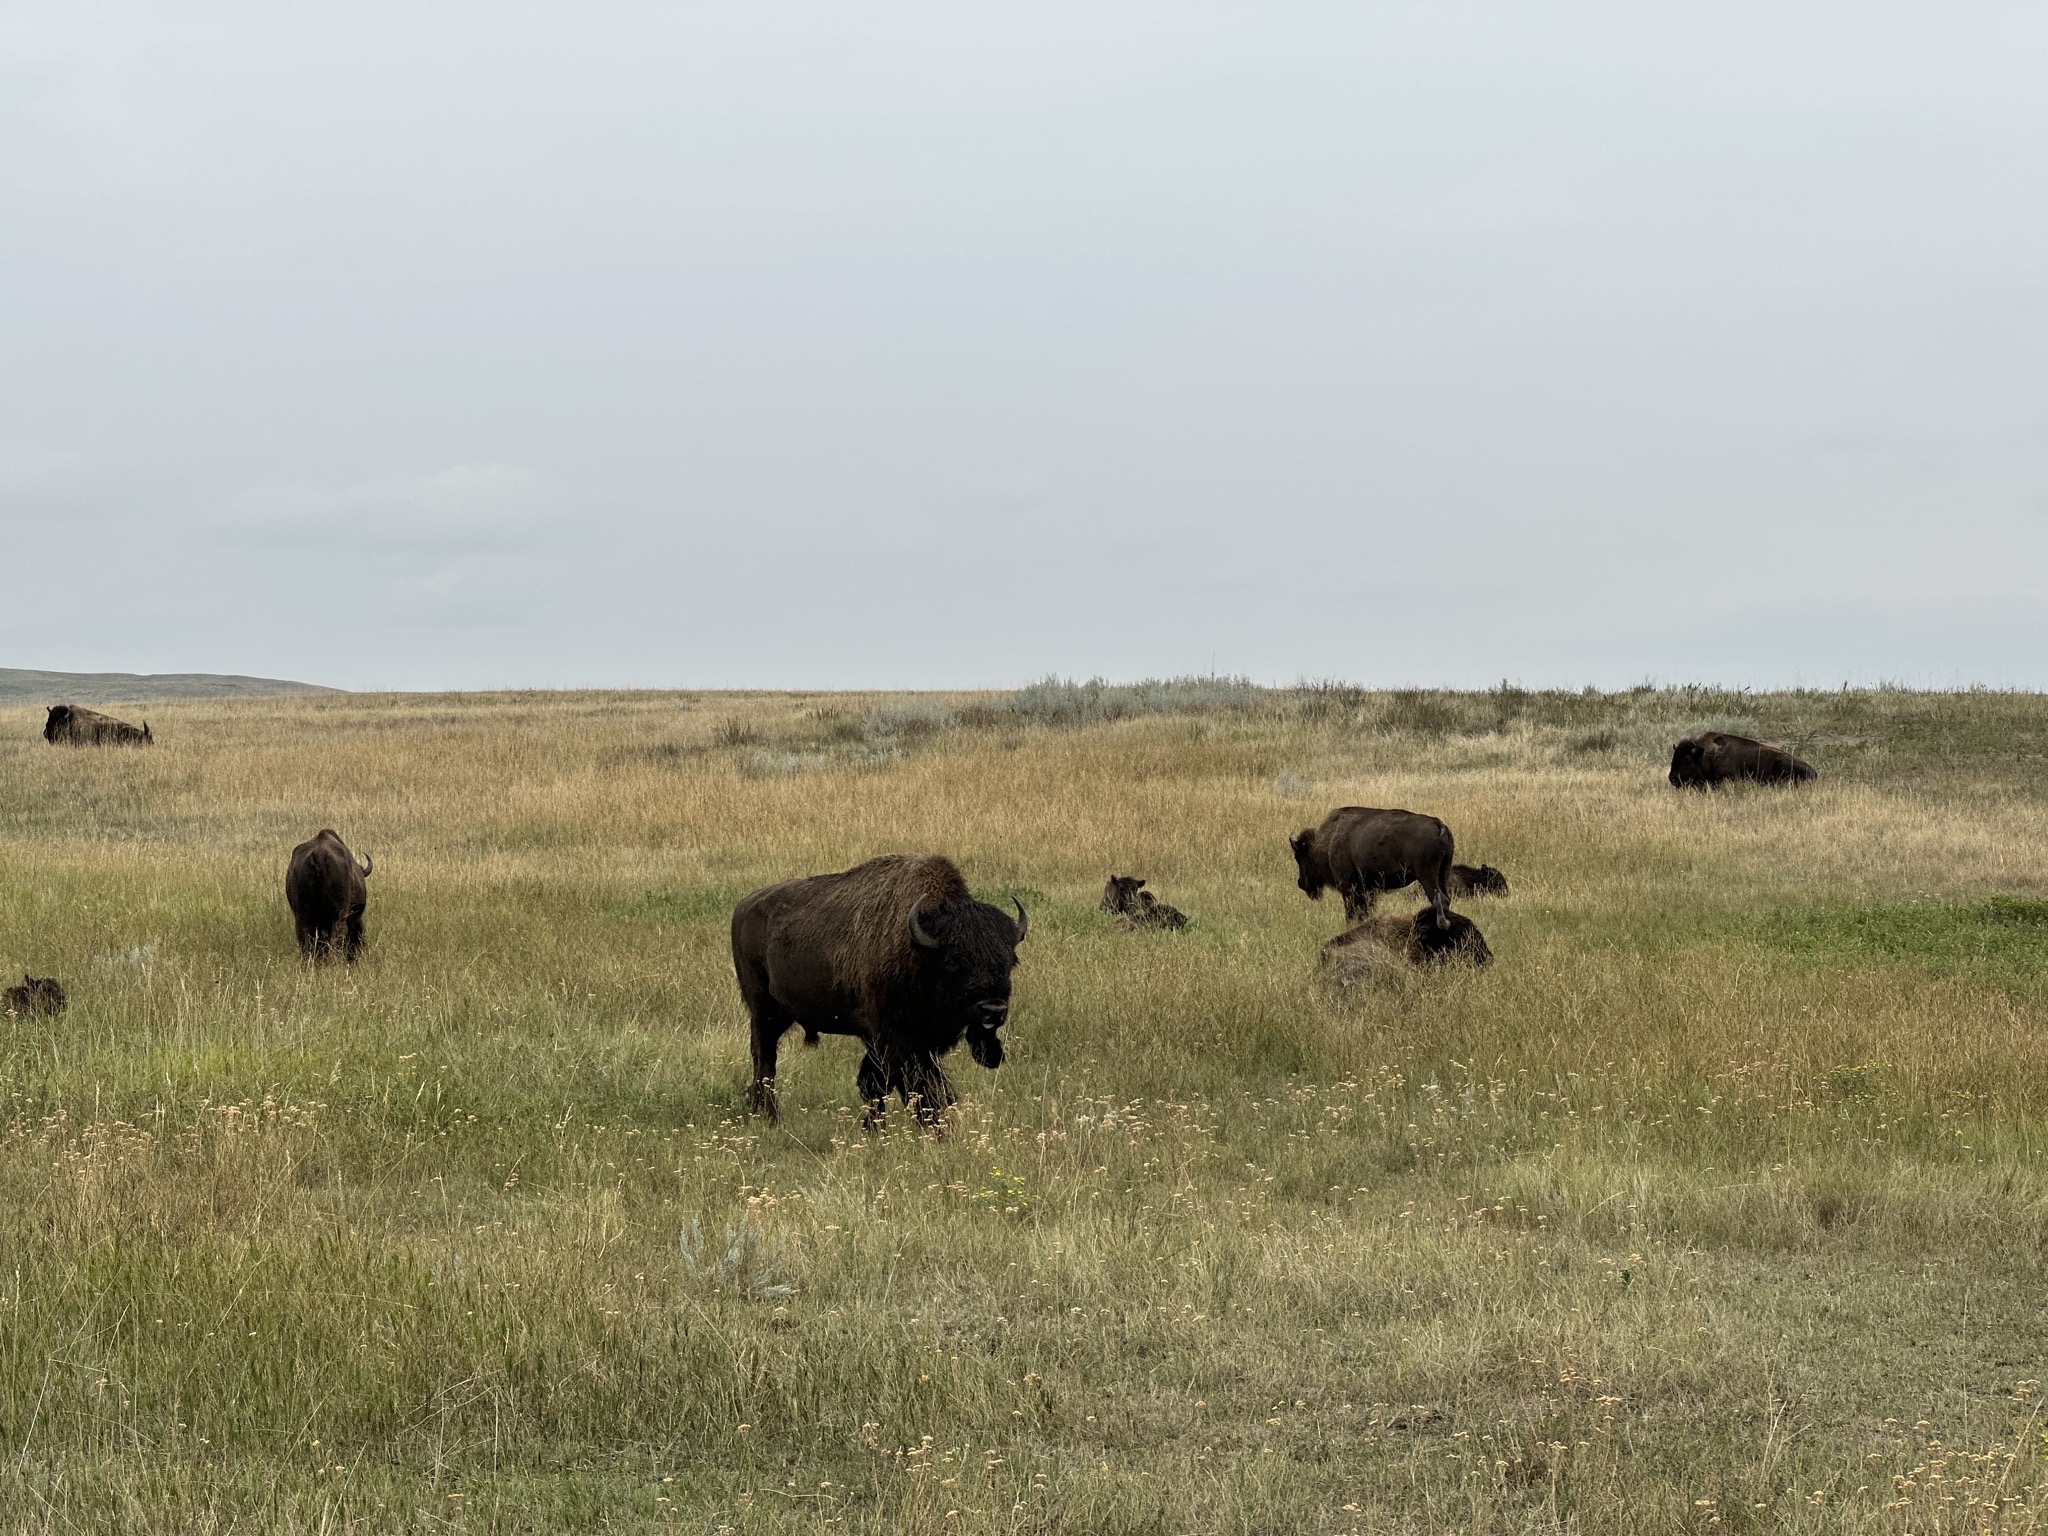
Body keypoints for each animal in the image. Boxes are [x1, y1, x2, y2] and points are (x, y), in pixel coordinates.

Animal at [733, 853, 1026, 1127]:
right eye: (953, 960)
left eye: (1010, 960)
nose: (993, 1009)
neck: (919, 949)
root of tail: (743, 907)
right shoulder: (892, 1037)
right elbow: (897, 1084)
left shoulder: (918, 1042)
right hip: (764, 1011)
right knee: (765, 1059)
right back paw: (772, 1117)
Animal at [1289, 806, 1456, 926]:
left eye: (1299, 856)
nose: (1301, 883)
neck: (1328, 840)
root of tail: (1437, 823)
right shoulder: (1367, 889)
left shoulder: (1348, 886)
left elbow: (1352, 911)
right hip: (1443, 874)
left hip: (1427, 877)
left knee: (1439, 900)